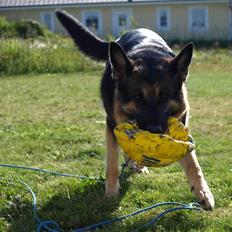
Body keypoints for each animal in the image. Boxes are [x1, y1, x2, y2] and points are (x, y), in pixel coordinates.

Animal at [55, 9, 214, 210]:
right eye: (138, 97)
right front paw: (111, 192)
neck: (148, 56)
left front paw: (203, 192)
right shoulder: (111, 126)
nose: (155, 131)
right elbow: (112, 164)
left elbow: (193, 164)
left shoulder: (182, 126)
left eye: (164, 96)